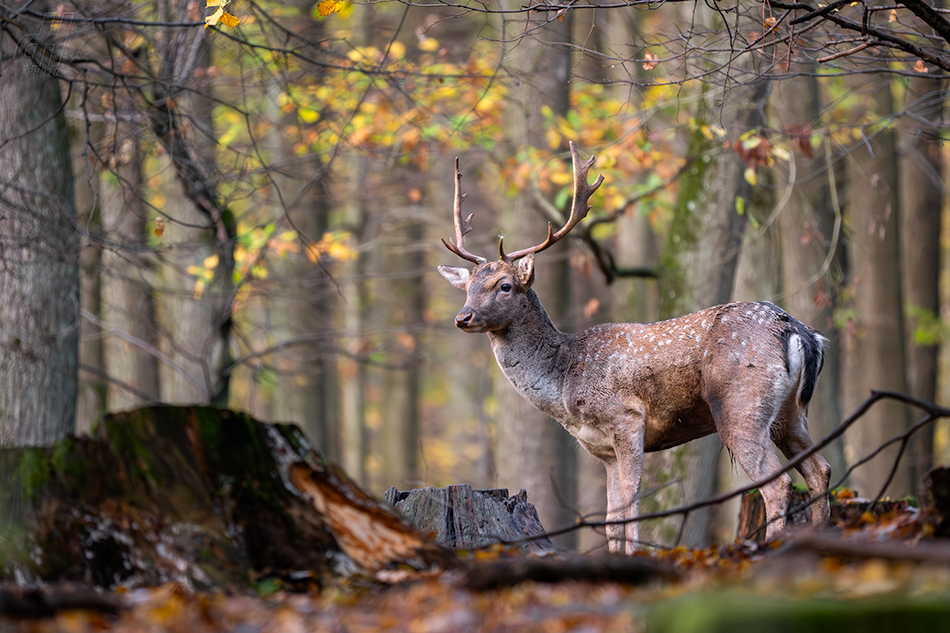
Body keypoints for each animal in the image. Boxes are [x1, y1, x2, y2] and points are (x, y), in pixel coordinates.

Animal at [438, 141, 832, 552]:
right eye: (467, 288)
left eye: (504, 285)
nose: (463, 317)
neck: (565, 382)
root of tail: (798, 330)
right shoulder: (603, 451)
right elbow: (612, 519)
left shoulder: (627, 419)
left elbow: (632, 509)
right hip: (790, 414)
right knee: (819, 470)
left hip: (741, 405)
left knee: (779, 483)